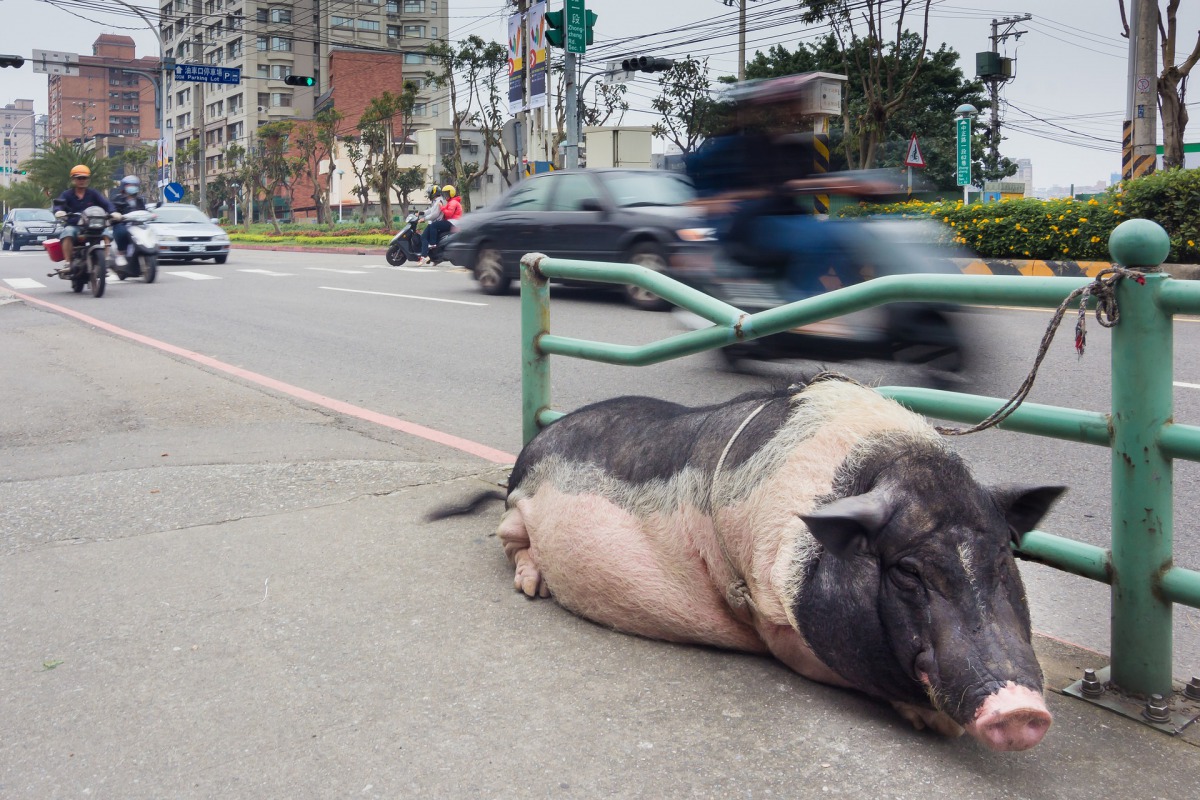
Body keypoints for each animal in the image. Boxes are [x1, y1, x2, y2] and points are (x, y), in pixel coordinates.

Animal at [496, 376, 1070, 753]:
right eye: (907, 571)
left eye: (1004, 554)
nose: (1021, 709)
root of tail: (533, 443)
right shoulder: (771, 615)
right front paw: (934, 721)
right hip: (514, 514)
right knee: (511, 544)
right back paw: (532, 586)